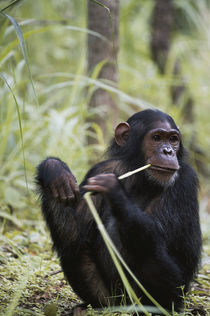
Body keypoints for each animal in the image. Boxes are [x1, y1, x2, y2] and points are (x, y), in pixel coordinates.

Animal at [36, 110, 202, 314]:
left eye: (173, 139)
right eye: (156, 138)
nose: (168, 151)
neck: (141, 176)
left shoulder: (184, 179)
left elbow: (160, 233)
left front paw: (113, 189)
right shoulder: (101, 169)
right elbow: (74, 233)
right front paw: (55, 171)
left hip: (172, 297)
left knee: (148, 251)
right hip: (109, 297)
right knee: (73, 248)